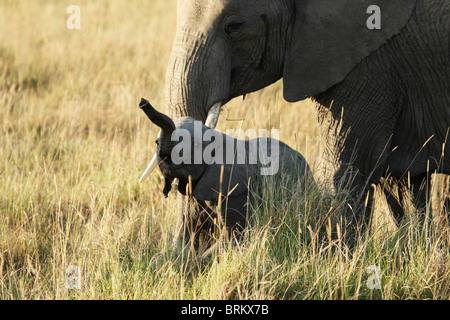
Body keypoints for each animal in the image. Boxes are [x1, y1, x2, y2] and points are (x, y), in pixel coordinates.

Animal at [138, 97, 312, 252]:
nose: (142, 102)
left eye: (195, 145)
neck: (219, 138)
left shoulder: (237, 189)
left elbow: (232, 233)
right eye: (156, 142)